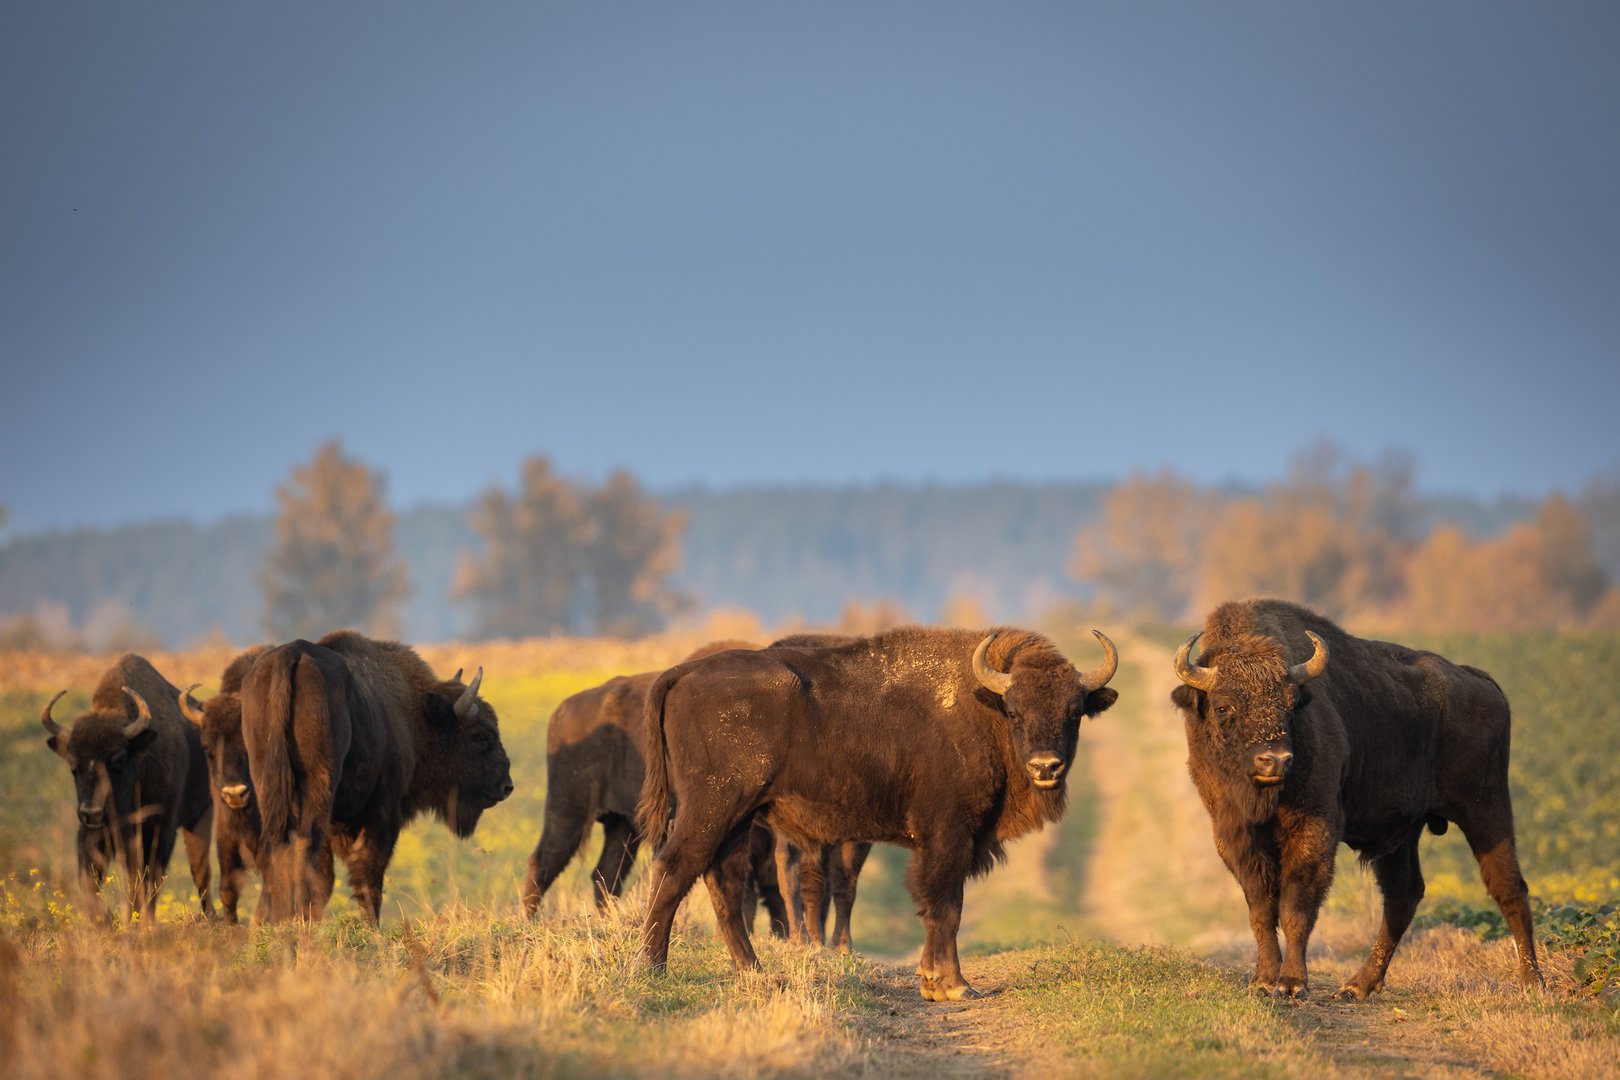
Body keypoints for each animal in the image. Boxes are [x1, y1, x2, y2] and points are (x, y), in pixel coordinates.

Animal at [42, 654, 215, 923]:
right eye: (73, 765)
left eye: (119, 759)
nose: (91, 813)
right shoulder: (93, 835)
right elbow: (90, 881)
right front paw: (107, 920)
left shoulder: (159, 830)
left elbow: (147, 880)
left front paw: (140, 921)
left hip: (201, 816)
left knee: (200, 871)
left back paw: (211, 917)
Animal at [242, 631, 514, 923]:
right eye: (480, 737)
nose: (506, 786)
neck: (414, 713)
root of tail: (291, 655)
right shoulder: (384, 809)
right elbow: (368, 870)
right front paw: (372, 926)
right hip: (318, 786)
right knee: (307, 850)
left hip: (269, 785)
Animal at [637, 626, 1119, 1000]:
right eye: (1015, 712)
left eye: (1075, 711)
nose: (1045, 767)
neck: (983, 706)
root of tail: (681, 673)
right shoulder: (948, 834)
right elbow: (945, 905)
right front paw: (954, 985)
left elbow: (938, 905)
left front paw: (932, 980)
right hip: (712, 809)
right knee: (675, 869)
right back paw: (652, 968)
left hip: (737, 819)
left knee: (722, 883)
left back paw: (755, 974)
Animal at [1171, 599, 1543, 999]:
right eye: (1224, 707)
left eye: (1291, 703)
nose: (1275, 760)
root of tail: (1482, 682)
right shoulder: (1234, 833)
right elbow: (1261, 906)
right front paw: (1263, 980)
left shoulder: (1315, 827)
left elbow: (1296, 904)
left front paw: (1292, 983)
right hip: (1405, 835)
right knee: (1403, 896)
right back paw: (1357, 985)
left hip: (1487, 808)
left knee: (1509, 887)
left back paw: (1533, 983)